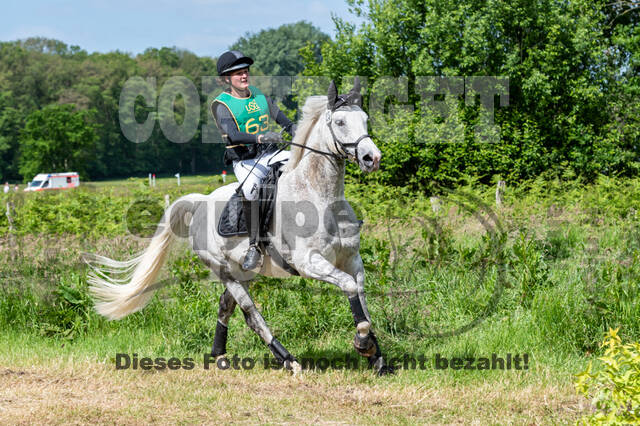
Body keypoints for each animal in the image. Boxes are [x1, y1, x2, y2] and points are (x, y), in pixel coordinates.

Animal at [86, 79, 393, 375]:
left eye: (365, 119)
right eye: (339, 122)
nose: (372, 158)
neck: (321, 197)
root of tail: (200, 203)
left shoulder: (352, 259)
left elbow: (361, 299)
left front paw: (375, 356)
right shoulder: (309, 262)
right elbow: (349, 288)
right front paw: (363, 344)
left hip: (242, 271)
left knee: (225, 306)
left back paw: (219, 355)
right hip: (223, 270)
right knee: (249, 313)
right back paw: (288, 361)